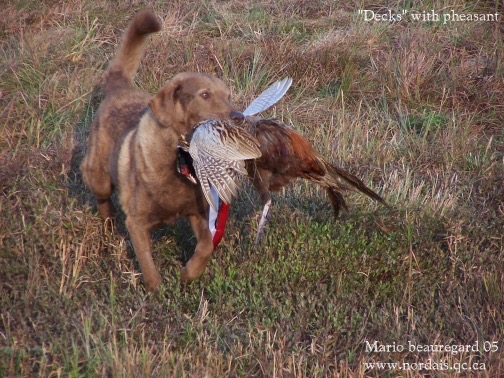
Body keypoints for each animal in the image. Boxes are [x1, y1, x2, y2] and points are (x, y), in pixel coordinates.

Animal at [80, 10, 242, 290]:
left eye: (228, 95)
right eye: (205, 95)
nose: (239, 117)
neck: (180, 159)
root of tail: (120, 87)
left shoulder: (198, 212)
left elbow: (206, 246)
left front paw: (188, 273)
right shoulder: (136, 221)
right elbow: (146, 261)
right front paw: (156, 290)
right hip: (98, 176)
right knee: (103, 200)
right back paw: (109, 229)